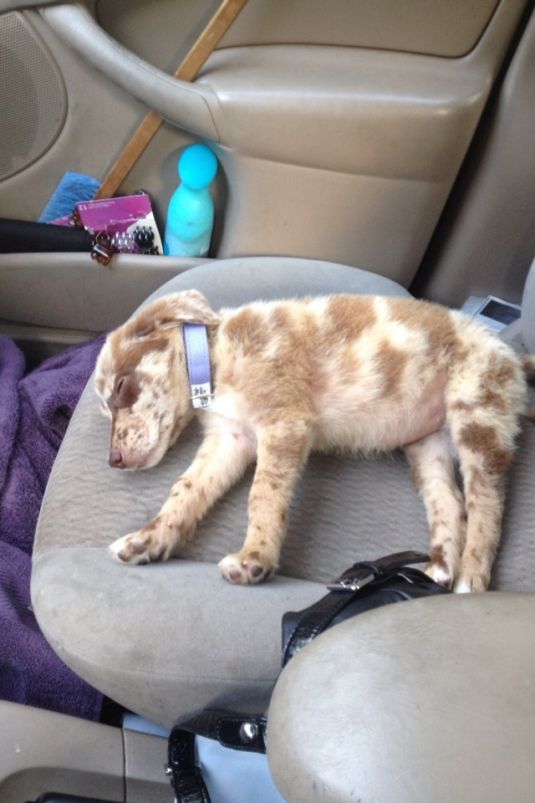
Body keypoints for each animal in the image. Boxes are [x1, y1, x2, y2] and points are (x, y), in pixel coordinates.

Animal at [94, 292, 532, 592]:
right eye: (104, 409)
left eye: (121, 387)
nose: (113, 460)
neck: (216, 359)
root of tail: (512, 354)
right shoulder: (230, 439)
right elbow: (184, 491)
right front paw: (147, 541)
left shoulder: (284, 423)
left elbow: (263, 495)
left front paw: (255, 558)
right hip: (429, 447)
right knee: (451, 504)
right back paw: (440, 568)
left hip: (478, 415)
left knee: (486, 506)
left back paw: (470, 580)